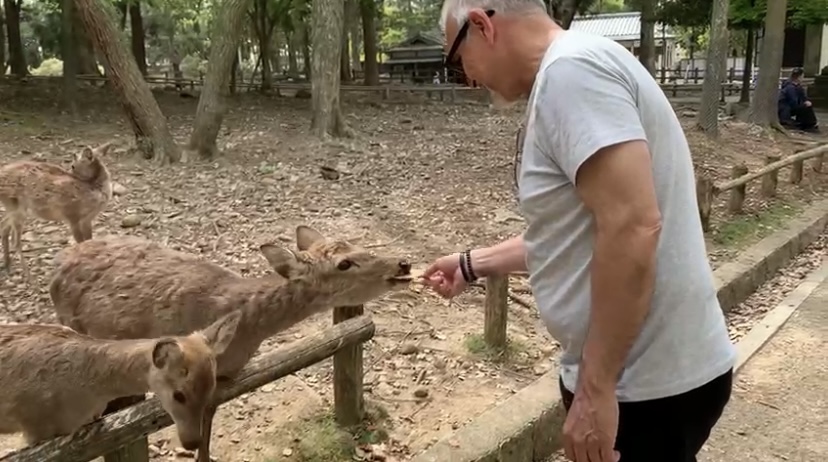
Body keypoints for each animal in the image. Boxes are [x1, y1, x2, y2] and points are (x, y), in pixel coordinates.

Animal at [0, 141, 113, 280]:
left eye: (73, 165)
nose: (69, 171)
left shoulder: (87, 219)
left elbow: (89, 240)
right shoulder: (71, 215)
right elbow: (80, 242)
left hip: (14, 207)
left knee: (4, 227)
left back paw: (8, 266)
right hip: (16, 207)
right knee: (15, 240)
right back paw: (29, 277)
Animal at [49, 225, 414, 462]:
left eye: (355, 246)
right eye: (344, 263)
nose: (403, 263)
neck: (247, 329)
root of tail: (57, 268)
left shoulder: (222, 380)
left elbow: (207, 425)